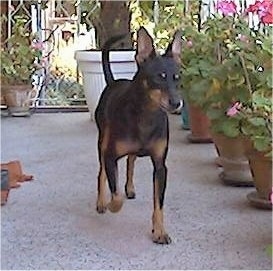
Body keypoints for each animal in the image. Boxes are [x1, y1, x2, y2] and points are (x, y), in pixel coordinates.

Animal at [93, 26, 181, 245]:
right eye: (159, 77)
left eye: (178, 78)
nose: (177, 103)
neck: (146, 115)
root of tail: (113, 82)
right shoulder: (110, 157)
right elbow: (116, 195)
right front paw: (111, 204)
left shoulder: (160, 167)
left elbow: (159, 204)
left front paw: (159, 231)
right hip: (102, 141)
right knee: (101, 173)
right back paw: (101, 202)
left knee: (131, 160)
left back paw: (130, 187)